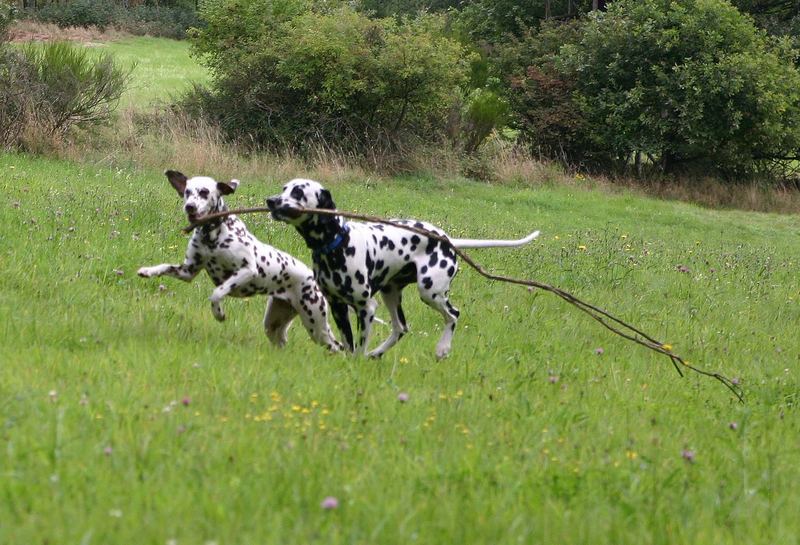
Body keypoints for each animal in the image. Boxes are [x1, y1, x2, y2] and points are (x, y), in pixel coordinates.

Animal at [137, 168, 340, 350]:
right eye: (187, 192)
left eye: (204, 192)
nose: (190, 207)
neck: (212, 237)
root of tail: (312, 277)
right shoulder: (187, 271)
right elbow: (165, 266)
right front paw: (148, 270)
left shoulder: (247, 271)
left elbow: (217, 292)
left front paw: (218, 313)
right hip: (274, 322)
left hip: (315, 322)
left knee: (337, 346)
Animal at [266, 177, 540, 356]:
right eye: (284, 188)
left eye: (298, 192)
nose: (270, 201)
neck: (337, 244)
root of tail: (447, 239)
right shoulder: (338, 307)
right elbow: (349, 344)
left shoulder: (365, 307)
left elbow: (358, 347)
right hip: (391, 293)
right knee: (400, 328)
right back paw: (376, 353)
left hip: (430, 291)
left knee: (453, 315)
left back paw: (442, 348)